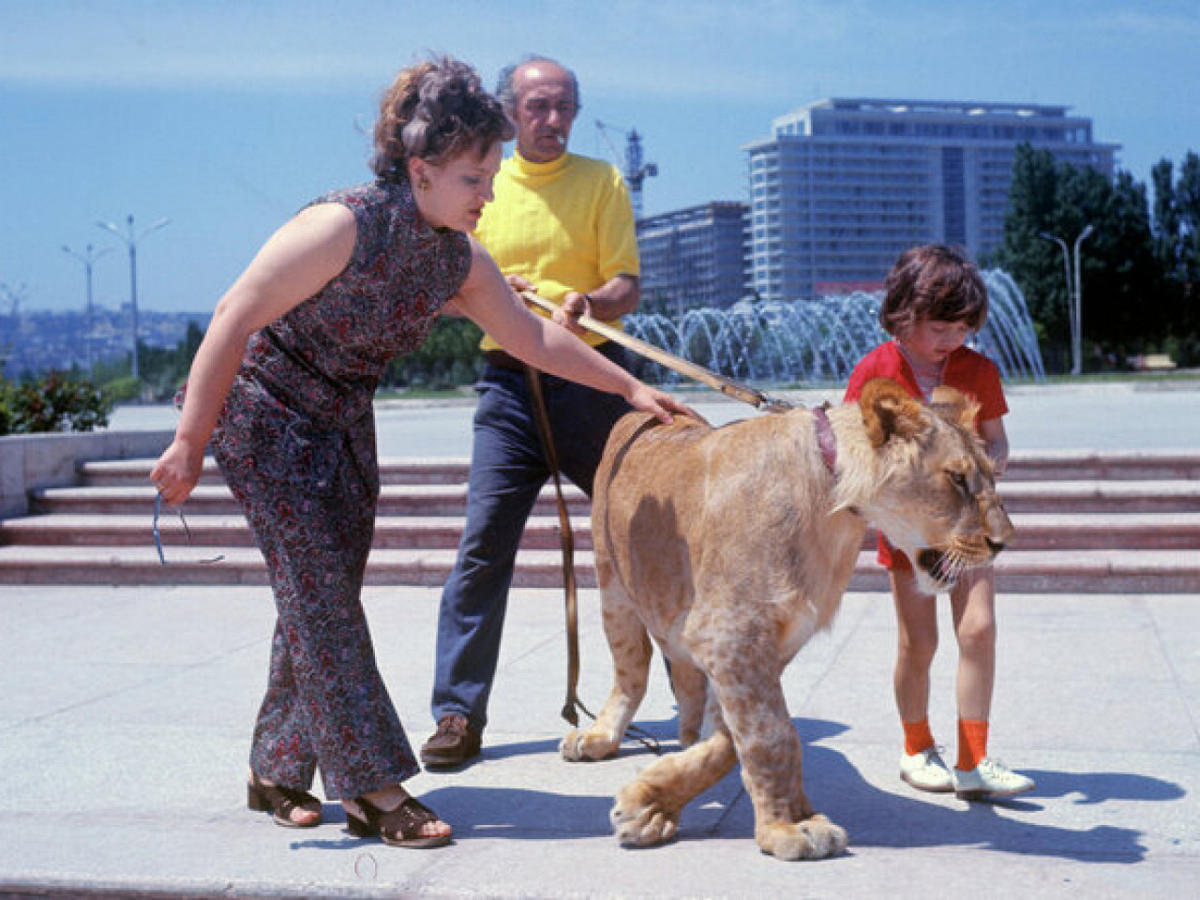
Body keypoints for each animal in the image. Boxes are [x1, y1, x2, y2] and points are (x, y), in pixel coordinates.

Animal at [559, 376, 1012, 864]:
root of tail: (640, 414)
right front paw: (787, 828)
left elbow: (741, 740)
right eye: (957, 478)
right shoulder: (729, 633)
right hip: (613, 588)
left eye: (991, 474)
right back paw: (598, 736)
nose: (1005, 541)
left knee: (685, 688)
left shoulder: (766, 642)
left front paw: (656, 798)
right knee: (631, 674)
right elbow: (772, 736)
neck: (833, 508)